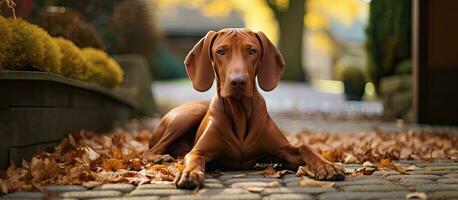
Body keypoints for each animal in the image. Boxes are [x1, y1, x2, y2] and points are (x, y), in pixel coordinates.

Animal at [148, 28, 346, 189]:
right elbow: (194, 157)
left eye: (252, 51)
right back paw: (159, 157)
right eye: (221, 52)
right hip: (190, 113)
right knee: (152, 149)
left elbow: (305, 146)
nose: (238, 81)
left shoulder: (285, 151)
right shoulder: (199, 151)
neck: (240, 112)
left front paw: (327, 165)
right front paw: (189, 173)